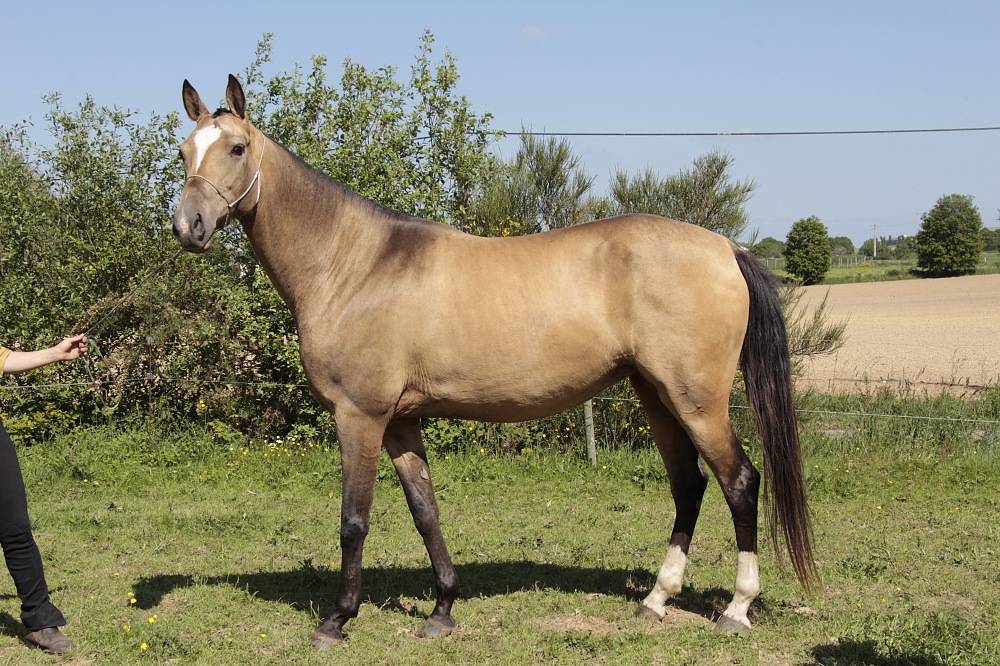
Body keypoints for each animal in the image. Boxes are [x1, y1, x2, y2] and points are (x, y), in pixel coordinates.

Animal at [172, 75, 816, 648]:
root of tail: (727, 248)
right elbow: (425, 512)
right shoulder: (402, 422)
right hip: (656, 395)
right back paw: (657, 599)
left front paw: (337, 619)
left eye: (236, 148)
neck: (355, 264)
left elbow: (354, 519)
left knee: (740, 482)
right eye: (183, 151)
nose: (189, 227)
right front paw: (442, 610)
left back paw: (736, 608)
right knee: (688, 485)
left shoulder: (360, 416)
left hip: (697, 400)